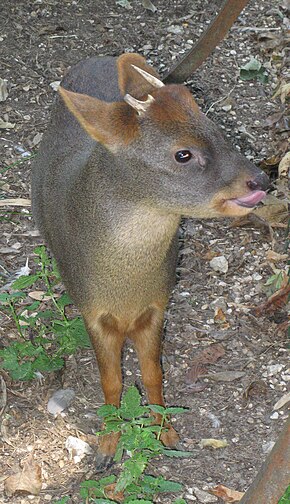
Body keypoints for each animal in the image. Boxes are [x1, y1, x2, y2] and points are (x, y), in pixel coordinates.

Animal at [31, 51, 268, 468]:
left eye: (217, 127)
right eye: (183, 154)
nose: (261, 180)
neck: (126, 285)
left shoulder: (158, 303)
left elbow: (153, 373)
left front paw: (165, 432)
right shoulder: (92, 311)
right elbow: (111, 381)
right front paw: (107, 445)